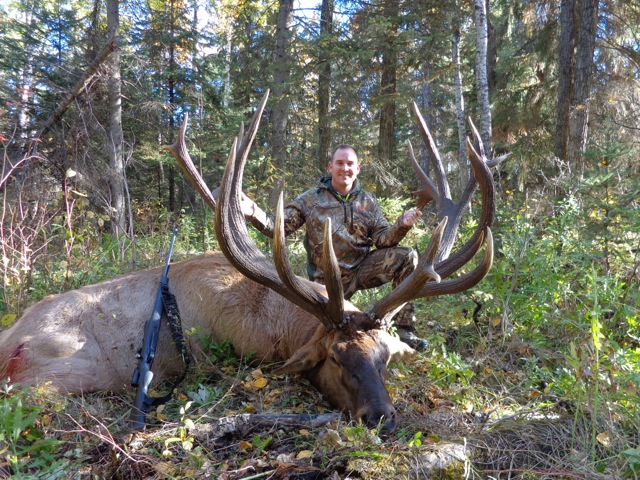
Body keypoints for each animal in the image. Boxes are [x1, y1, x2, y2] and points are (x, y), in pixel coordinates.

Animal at [0, 90, 496, 432]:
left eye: (384, 358)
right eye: (336, 357)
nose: (381, 418)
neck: (275, 322)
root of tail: (10, 344)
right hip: (56, 376)